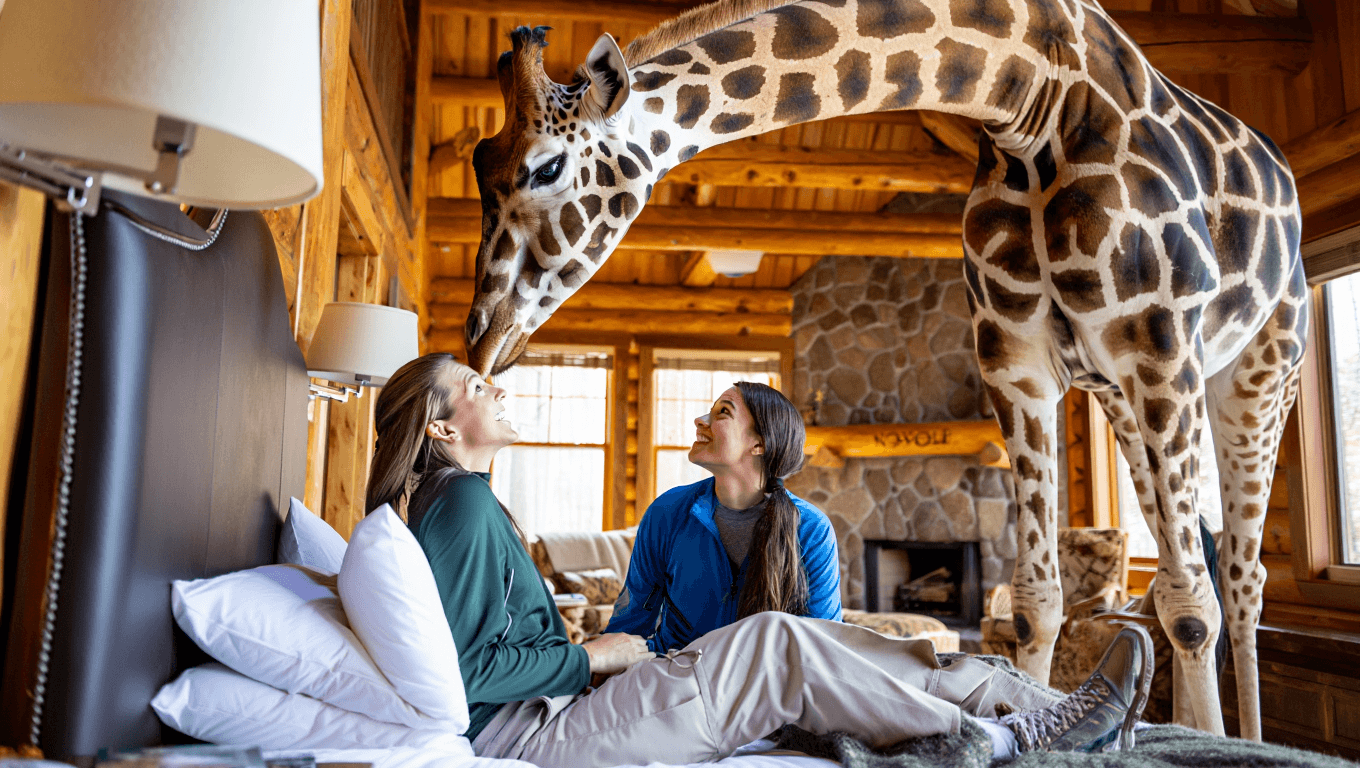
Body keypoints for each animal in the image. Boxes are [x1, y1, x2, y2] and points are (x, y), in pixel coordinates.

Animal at [461, 0, 1308, 740]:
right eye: (479, 165)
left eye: (545, 168)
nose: (481, 339)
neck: (1030, 96)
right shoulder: (1020, 366)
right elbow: (1036, 601)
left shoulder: (1155, 343)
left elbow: (1189, 606)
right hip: (1123, 396)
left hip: (1253, 371)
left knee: (1237, 582)